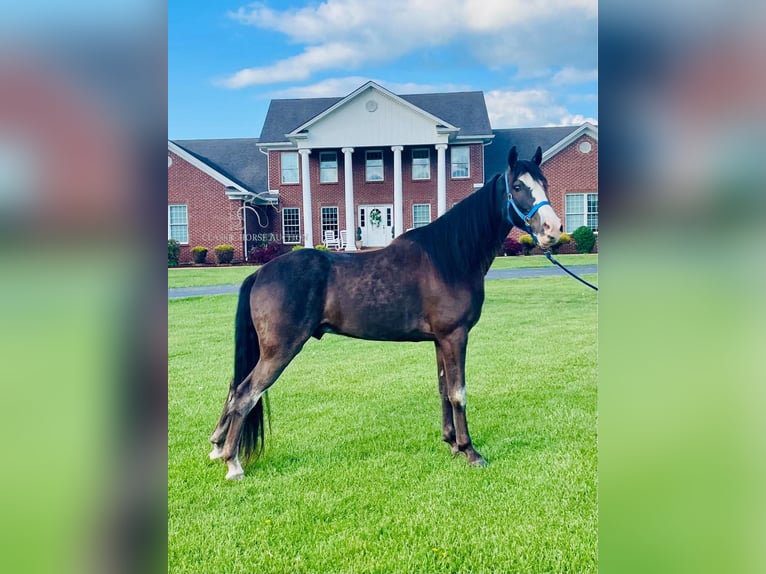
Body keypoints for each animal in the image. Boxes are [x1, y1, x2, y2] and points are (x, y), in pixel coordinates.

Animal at [210, 145, 564, 482]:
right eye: (518, 186)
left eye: (545, 183)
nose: (553, 229)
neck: (450, 258)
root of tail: (260, 272)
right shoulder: (455, 337)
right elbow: (458, 393)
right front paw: (470, 451)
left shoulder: (440, 341)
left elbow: (443, 391)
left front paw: (451, 443)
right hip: (279, 351)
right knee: (245, 394)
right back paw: (233, 464)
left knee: (233, 388)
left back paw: (217, 447)